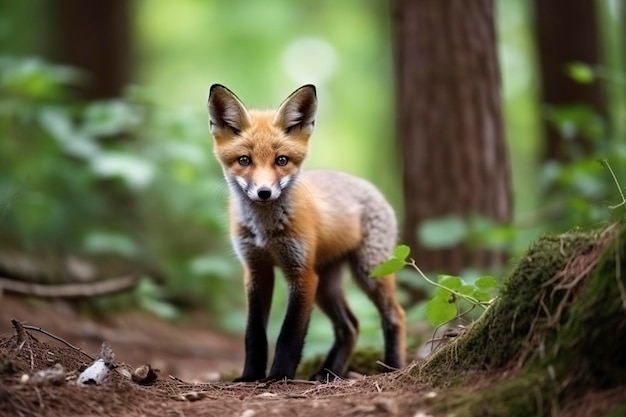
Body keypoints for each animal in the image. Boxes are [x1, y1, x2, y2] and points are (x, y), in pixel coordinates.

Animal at [207, 83, 408, 382]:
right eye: (244, 160)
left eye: (281, 160)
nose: (264, 192)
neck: (266, 230)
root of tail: (367, 185)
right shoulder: (256, 270)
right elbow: (254, 334)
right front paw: (250, 376)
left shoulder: (301, 273)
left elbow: (290, 333)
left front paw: (279, 376)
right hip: (326, 285)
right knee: (350, 326)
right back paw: (328, 373)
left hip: (368, 272)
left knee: (395, 316)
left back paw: (393, 367)